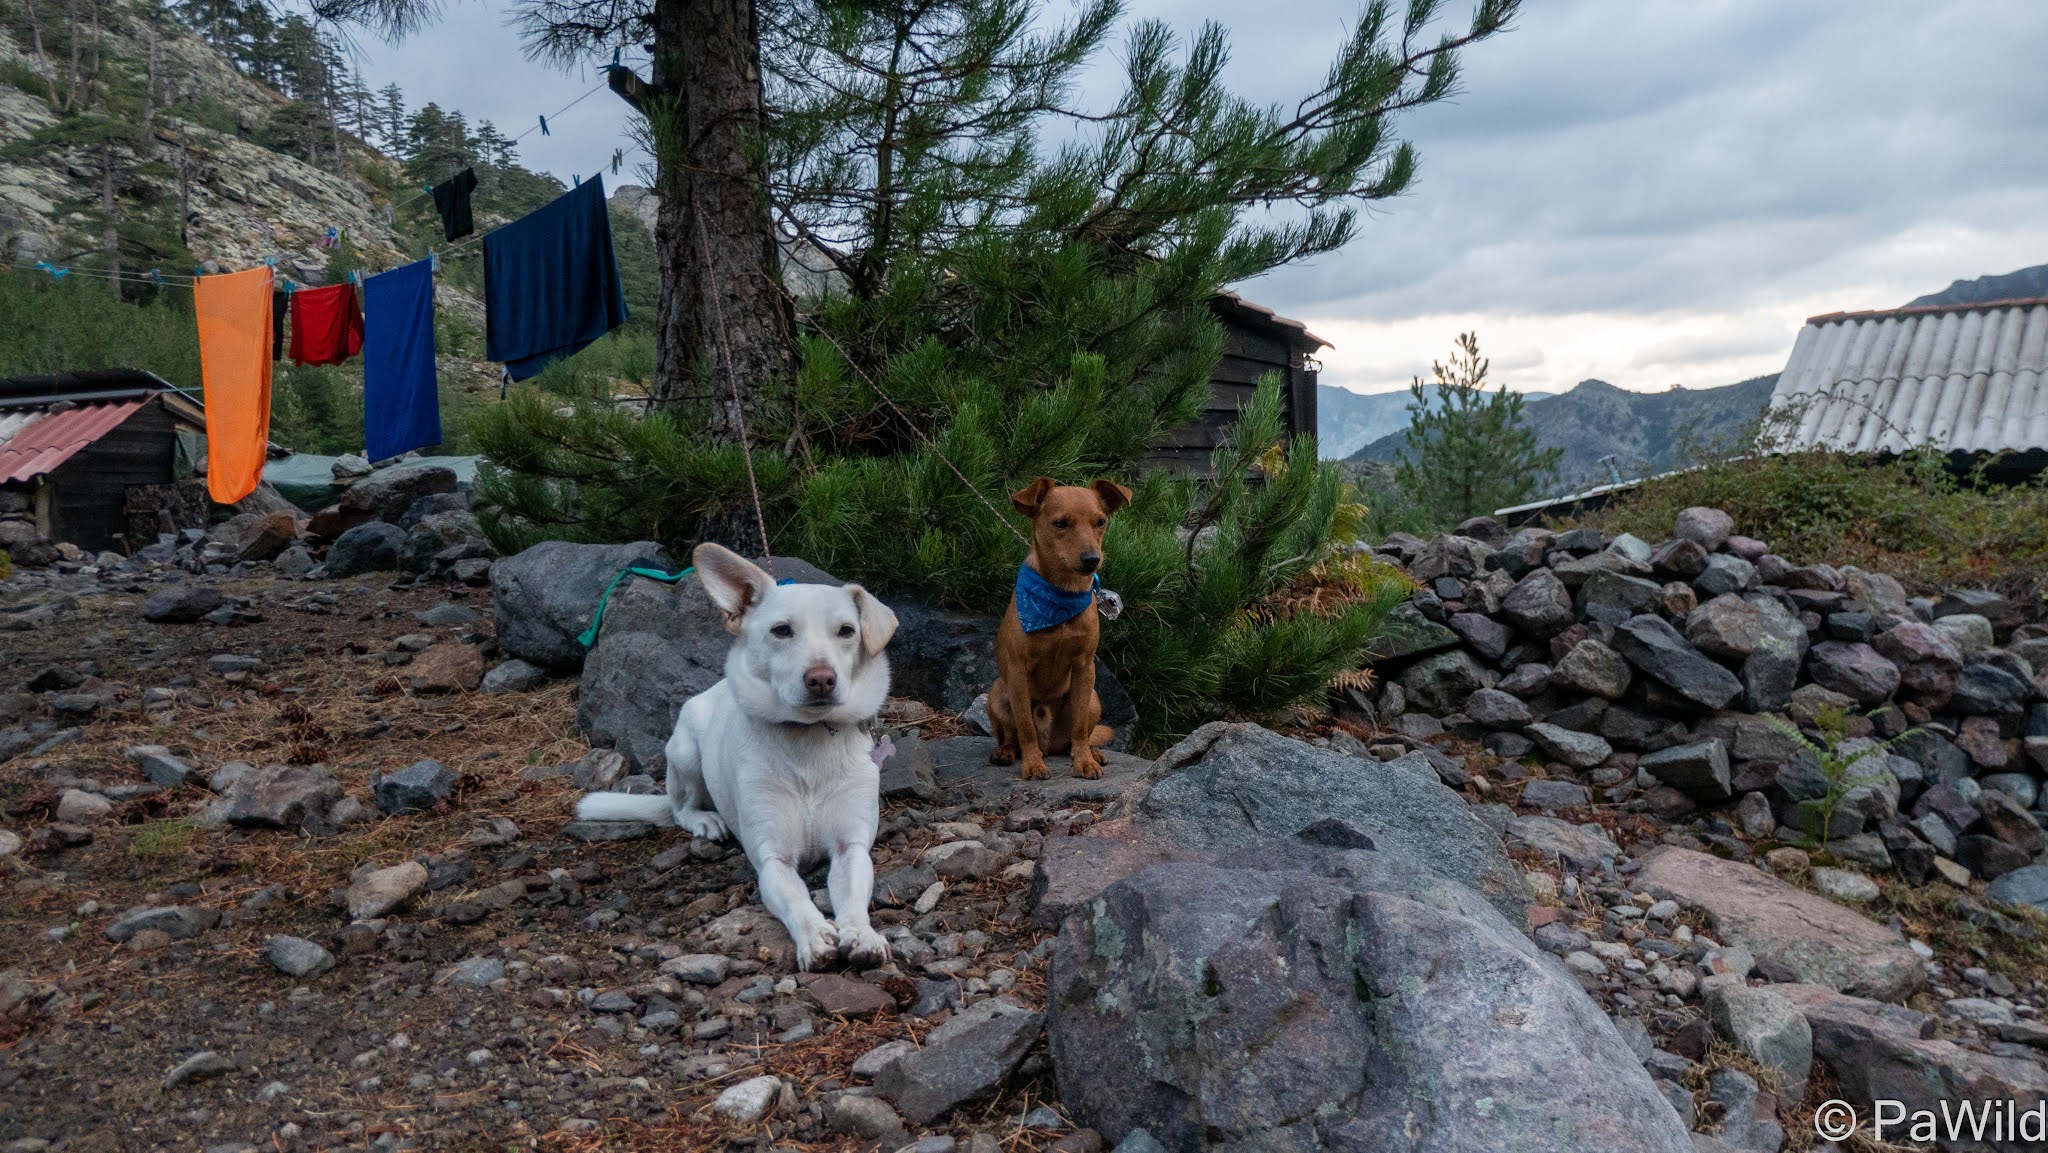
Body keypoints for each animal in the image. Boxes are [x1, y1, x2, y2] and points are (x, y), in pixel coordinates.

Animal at [577, 544, 897, 970]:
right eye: (781, 630)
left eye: (847, 631)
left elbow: (853, 901)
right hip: (685, 753)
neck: (808, 738)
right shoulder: (773, 860)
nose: (821, 679)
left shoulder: (851, 849)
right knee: (679, 809)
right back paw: (706, 820)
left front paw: (862, 935)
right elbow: (797, 902)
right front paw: (815, 937)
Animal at [991, 473, 1138, 782]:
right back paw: (1007, 753)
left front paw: (1084, 762)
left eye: (1101, 522)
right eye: (1060, 523)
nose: (1092, 559)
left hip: (1094, 698)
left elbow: (1080, 727)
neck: (1062, 596)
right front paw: (1033, 764)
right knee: (1010, 735)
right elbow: (1025, 727)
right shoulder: (1018, 671)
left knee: (1078, 734)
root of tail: (1051, 744)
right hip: (997, 692)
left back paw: (1091, 752)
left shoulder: (1084, 667)